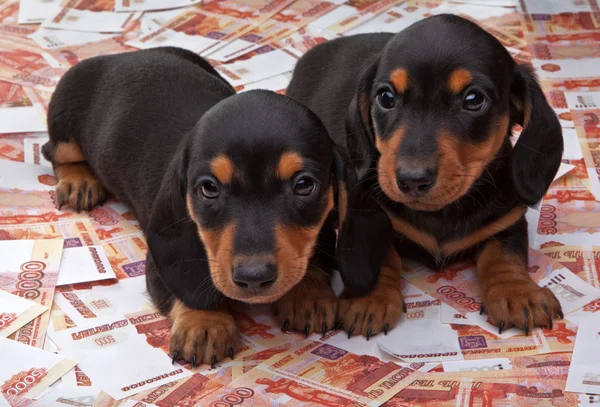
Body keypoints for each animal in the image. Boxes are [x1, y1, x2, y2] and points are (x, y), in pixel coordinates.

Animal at [43, 47, 346, 366]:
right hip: (66, 131)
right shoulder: (161, 258)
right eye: (209, 188)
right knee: (54, 153)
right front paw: (203, 322)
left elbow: (312, 257)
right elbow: (186, 283)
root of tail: (123, 55)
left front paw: (309, 294)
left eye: (304, 185)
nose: (253, 278)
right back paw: (79, 181)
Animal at [288, 14, 564, 338]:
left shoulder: (507, 221)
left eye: (474, 99)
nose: (411, 180)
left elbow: (504, 255)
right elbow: (382, 253)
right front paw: (370, 300)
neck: (443, 211)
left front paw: (517, 292)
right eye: (385, 97)